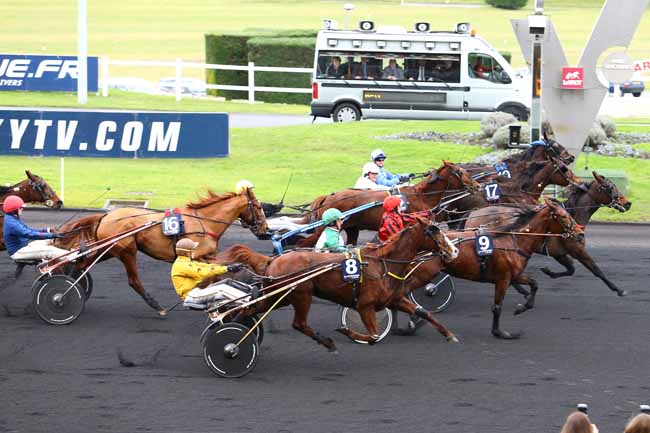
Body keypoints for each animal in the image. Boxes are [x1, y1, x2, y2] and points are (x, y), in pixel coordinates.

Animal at [54, 186, 268, 310]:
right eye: (258, 207)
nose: (265, 229)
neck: (204, 222)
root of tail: (106, 216)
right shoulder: (196, 257)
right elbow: (208, 277)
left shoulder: (208, 257)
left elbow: (215, 274)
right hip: (127, 250)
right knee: (132, 280)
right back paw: (156, 305)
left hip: (108, 250)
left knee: (81, 265)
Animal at [220, 219, 458, 352]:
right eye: (433, 231)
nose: (454, 250)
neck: (382, 264)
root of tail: (273, 260)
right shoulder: (365, 306)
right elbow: (373, 336)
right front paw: (346, 331)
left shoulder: (394, 299)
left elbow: (424, 312)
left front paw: (450, 335)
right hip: (300, 294)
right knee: (298, 324)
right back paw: (328, 343)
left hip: (277, 296)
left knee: (249, 309)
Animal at [294, 160, 476, 246]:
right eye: (460, 171)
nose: (477, 185)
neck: (421, 196)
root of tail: (328, 197)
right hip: (325, 228)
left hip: (352, 228)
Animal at [464, 170, 632, 296]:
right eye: (610, 187)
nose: (628, 203)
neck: (571, 216)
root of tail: (473, 214)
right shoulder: (577, 249)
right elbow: (596, 270)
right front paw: (618, 289)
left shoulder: (559, 253)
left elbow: (571, 270)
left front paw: (548, 271)